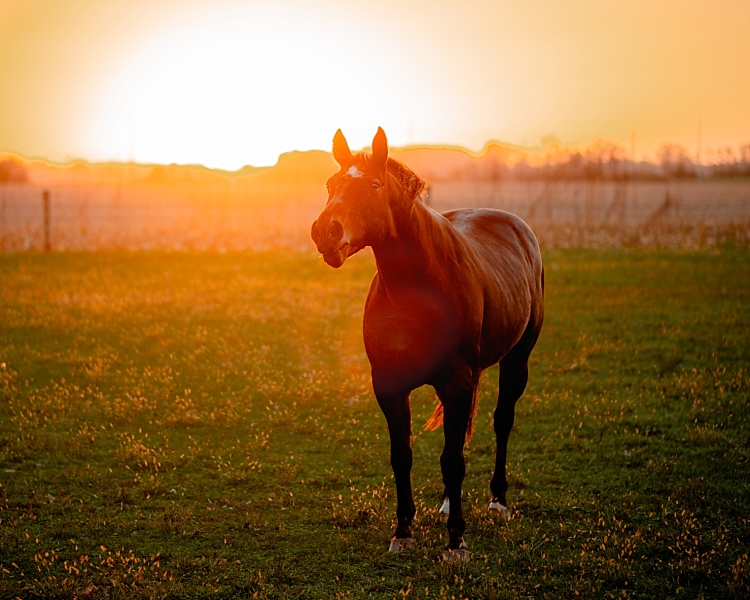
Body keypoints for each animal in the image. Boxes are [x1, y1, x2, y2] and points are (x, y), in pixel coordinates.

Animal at [308, 126, 544, 564]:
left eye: (374, 185)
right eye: (331, 184)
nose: (326, 232)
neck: (416, 290)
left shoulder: (456, 381)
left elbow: (453, 459)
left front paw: (456, 543)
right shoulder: (388, 385)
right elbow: (403, 456)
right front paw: (403, 532)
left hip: (516, 360)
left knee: (502, 421)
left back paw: (498, 502)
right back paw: (450, 503)